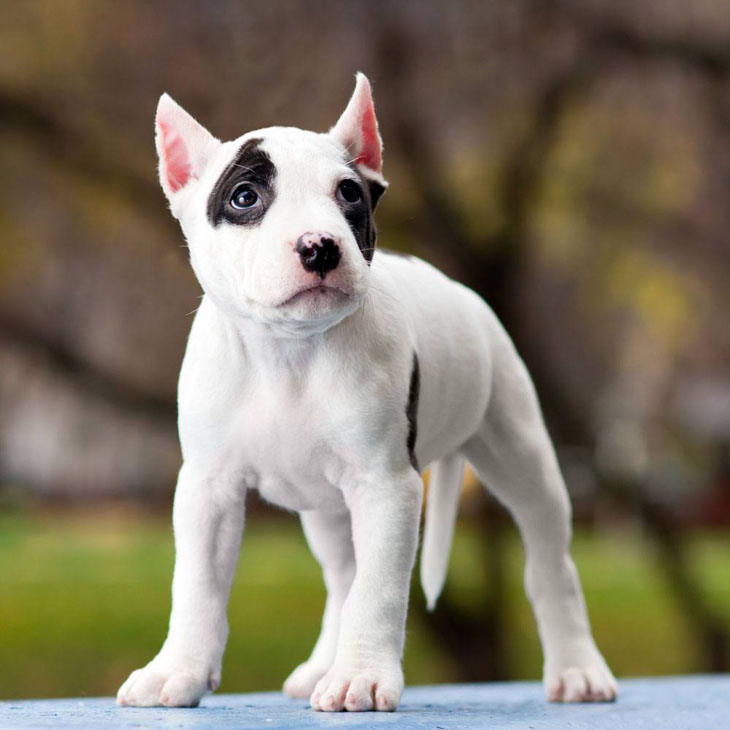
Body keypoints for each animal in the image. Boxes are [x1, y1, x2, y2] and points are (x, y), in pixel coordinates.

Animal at [118, 74, 616, 712]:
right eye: (245, 197)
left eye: (349, 194)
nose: (320, 245)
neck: (288, 354)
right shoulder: (209, 487)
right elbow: (197, 585)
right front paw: (176, 671)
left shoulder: (386, 486)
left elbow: (378, 589)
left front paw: (362, 676)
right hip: (326, 508)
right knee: (341, 576)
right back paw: (319, 667)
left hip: (521, 452)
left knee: (550, 562)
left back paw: (578, 670)